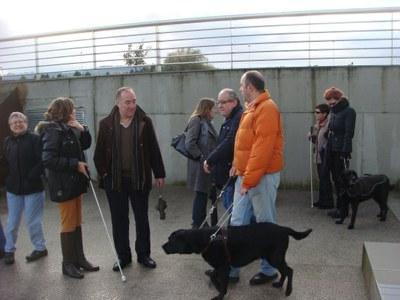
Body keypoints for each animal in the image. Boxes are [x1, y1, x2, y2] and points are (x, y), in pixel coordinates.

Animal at [162, 223, 312, 300]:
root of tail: (284, 228)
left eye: (171, 240)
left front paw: (220, 294)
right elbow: (213, 275)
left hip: (275, 257)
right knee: (284, 271)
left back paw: (288, 291)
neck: (208, 239)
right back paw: (279, 284)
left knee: (289, 271)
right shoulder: (222, 266)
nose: (162, 246)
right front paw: (219, 287)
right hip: (273, 257)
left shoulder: (223, 266)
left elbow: (220, 280)